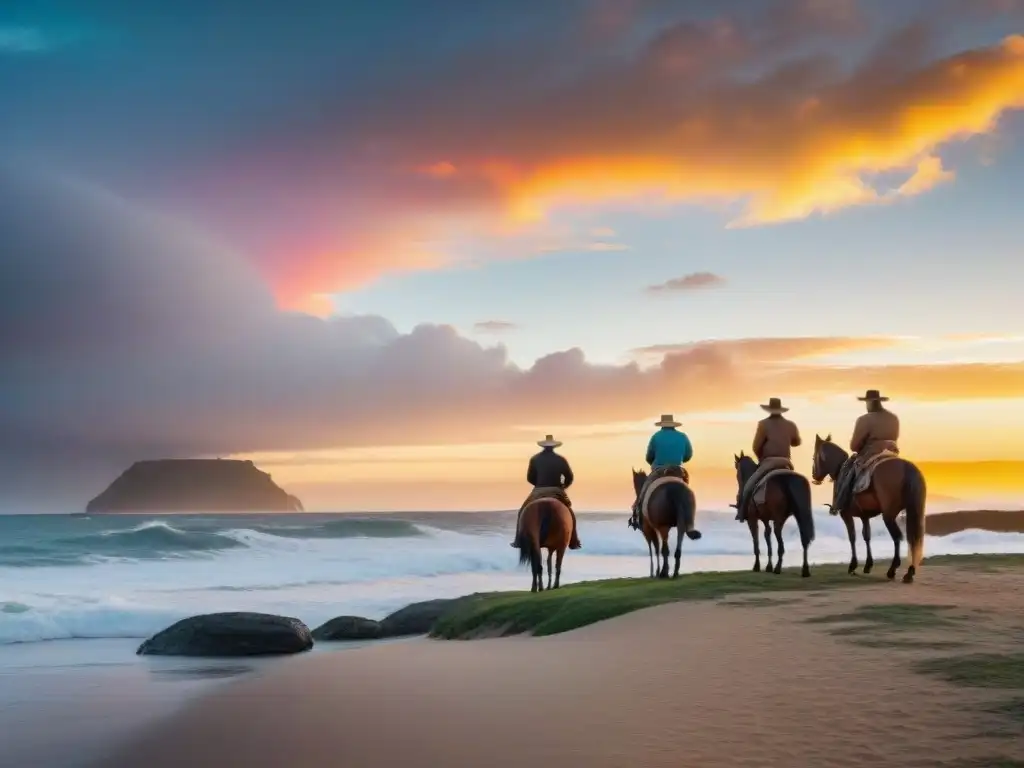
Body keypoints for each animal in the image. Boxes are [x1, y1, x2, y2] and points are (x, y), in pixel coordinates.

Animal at [815, 434, 929, 581]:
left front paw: (853, 566)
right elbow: (867, 536)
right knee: (913, 538)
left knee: (897, 536)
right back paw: (910, 571)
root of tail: (906, 466)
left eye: (814, 457)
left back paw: (893, 569)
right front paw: (868, 565)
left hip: (889, 515)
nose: (814, 476)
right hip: (913, 510)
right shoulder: (865, 516)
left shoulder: (846, 514)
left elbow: (852, 537)